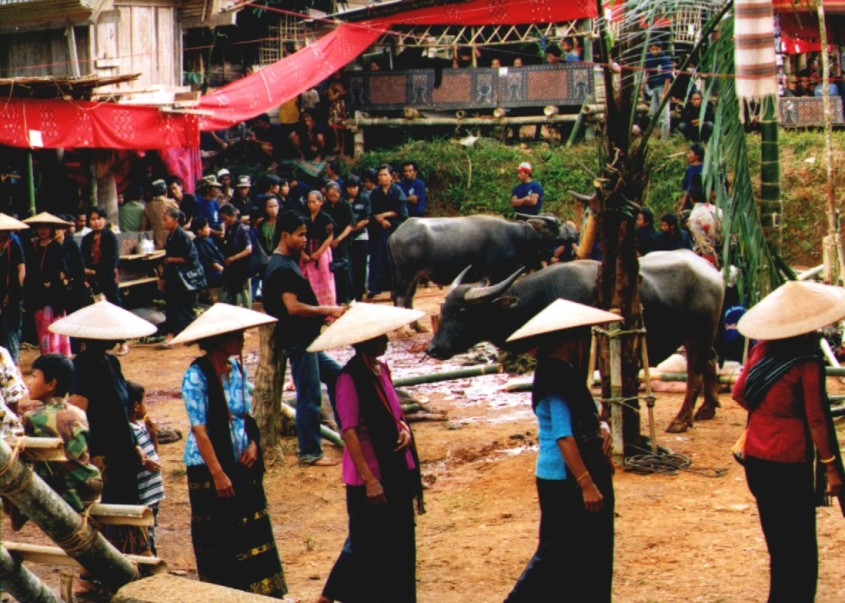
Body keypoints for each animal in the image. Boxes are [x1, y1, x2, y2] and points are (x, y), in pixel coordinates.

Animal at [390, 215, 572, 314]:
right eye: (559, 224)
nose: (574, 233)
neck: (516, 236)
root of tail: (395, 234)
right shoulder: (497, 273)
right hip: (405, 274)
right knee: (399, 296)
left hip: (416, 275)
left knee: (409, 297)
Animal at [428, 251, 724, 434]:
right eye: (443, 309)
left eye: (462, 312)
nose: (434, 348)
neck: (544, 302)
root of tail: (712, 272)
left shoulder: (581, 354)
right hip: (706, 335)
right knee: (711, 361)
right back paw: (707, 409)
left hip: (698, 334)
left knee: (695, 373)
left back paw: (681, 421)